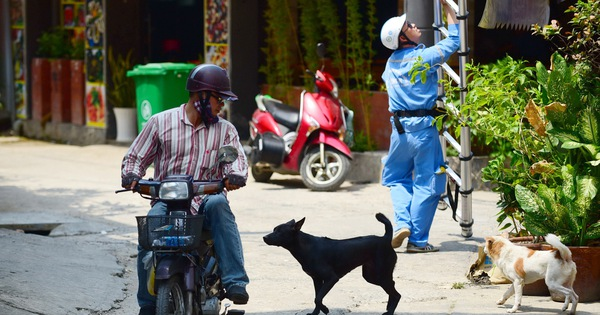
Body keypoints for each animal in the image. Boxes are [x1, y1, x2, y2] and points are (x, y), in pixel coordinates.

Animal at [264, 214, 400, 314]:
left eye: (279, 232)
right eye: (274, 230)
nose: (264, 237)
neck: (306, 247)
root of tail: (385, 238)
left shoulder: (331, 278)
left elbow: (318, 298)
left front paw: (325, 309)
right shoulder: (317, 279)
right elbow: (317, 298)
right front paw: (315, 313)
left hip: (380, 276)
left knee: (397, 294)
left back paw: (390, 312)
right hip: (371, 276)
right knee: (393, 285)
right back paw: (388, 307)